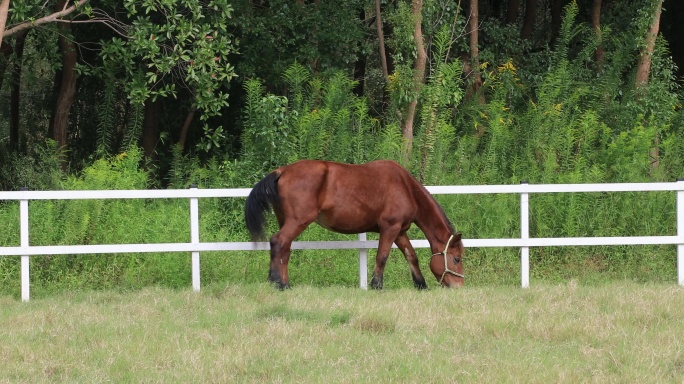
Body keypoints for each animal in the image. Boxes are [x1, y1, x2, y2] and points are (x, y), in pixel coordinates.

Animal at [243, 160, 462, 290]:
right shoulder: (390, 228)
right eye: (457, 259)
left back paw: (285, 283)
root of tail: (282, 171)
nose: (459, 285)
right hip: (297, 221)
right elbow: (382, 257)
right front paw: (376, 285)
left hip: (288, 222)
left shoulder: (400, 231)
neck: (405, 187)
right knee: (278, 242)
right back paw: (277, 283)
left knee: (285, 250)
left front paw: (421, 284)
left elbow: (411, 256)